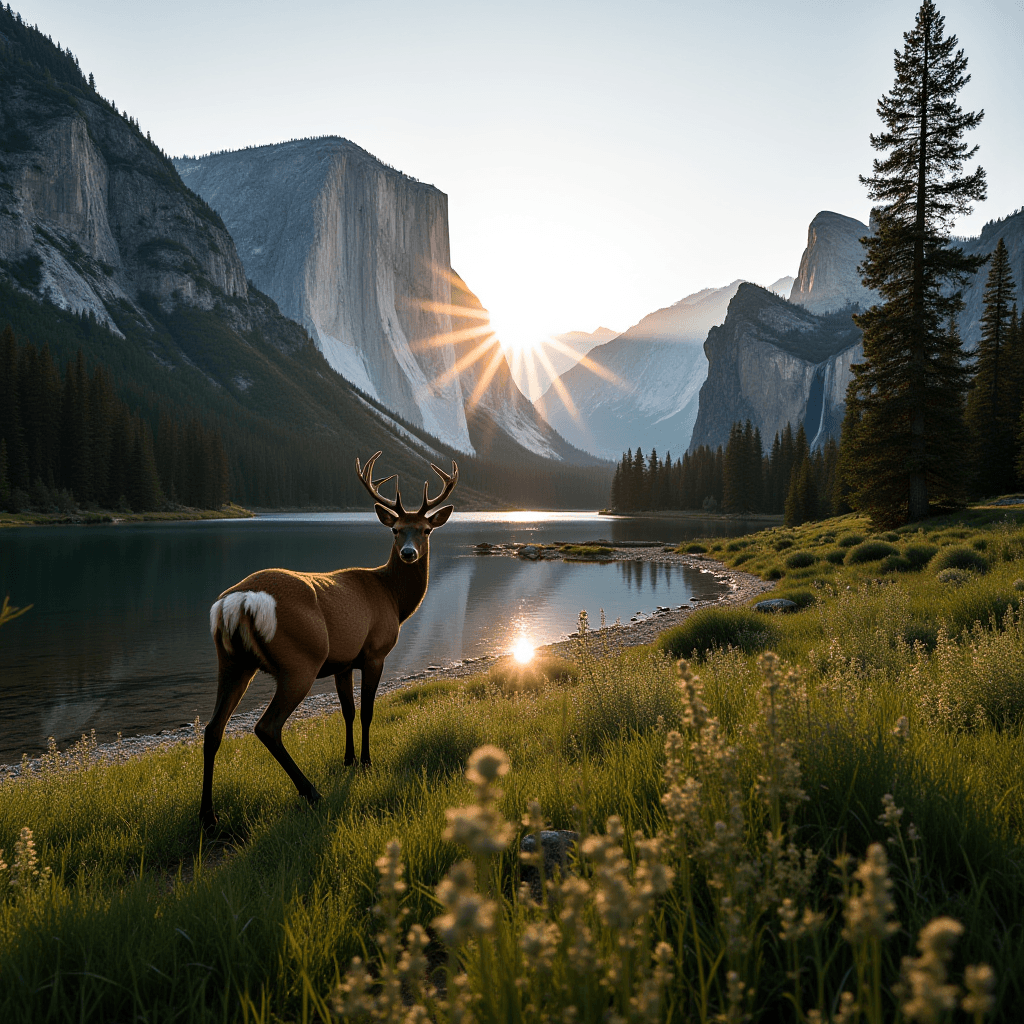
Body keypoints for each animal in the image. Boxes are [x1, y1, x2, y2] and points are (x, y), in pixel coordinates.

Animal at [199, 452, 456, 827]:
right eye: (395, 530)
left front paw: (348, 760)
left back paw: (208, 815)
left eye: (425, 530)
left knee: (212, 730)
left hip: (232, 661)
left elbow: (347, 710)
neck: (393, 599)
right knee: (266, 727)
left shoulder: (343, 662)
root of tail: (241, 600)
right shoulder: (375, 651)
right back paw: (310, 792)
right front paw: (366, 762)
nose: (409, 553)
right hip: (300, 660)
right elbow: (366, 711)